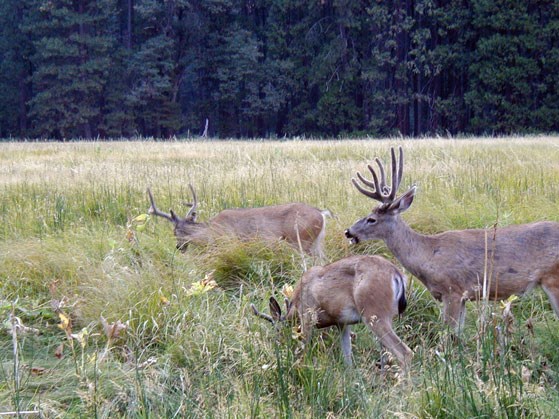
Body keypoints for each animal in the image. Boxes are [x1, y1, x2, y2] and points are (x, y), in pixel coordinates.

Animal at [148, 185, 332, 258]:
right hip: (317, 243)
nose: (179, 247)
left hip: (301, 240)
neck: (210, 232)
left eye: (175, 232)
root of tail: (321, 213)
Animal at [252, 254, 414, 372]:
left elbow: (305, 347)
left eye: (277, 330)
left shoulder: (307, 315)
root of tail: (397, 274)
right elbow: (347, 357)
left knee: (405, 352)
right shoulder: (342, 323)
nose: (277, 345)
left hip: (374, 313)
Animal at [344, 146, 559, 334]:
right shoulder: (462, 297)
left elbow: (450, 335)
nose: (348, 231)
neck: (427, 254)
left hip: (553, 277)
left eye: (372, 219)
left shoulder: (453, 290)